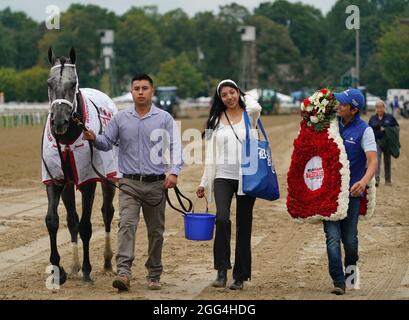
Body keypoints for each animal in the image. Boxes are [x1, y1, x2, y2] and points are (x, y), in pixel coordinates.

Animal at [43, 47, 115, 282]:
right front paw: (59, 268)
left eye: (73, 83)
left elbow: (86, 225)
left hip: (108, 178)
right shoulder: (55, 179)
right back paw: (74, 266)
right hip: (67, 184)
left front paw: (87, 270)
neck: (67, 140)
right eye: (49, 83)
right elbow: (54, 220)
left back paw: (107, 262)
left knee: (107, 212)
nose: (59, 121)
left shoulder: (88, 180)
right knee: (72, 219)